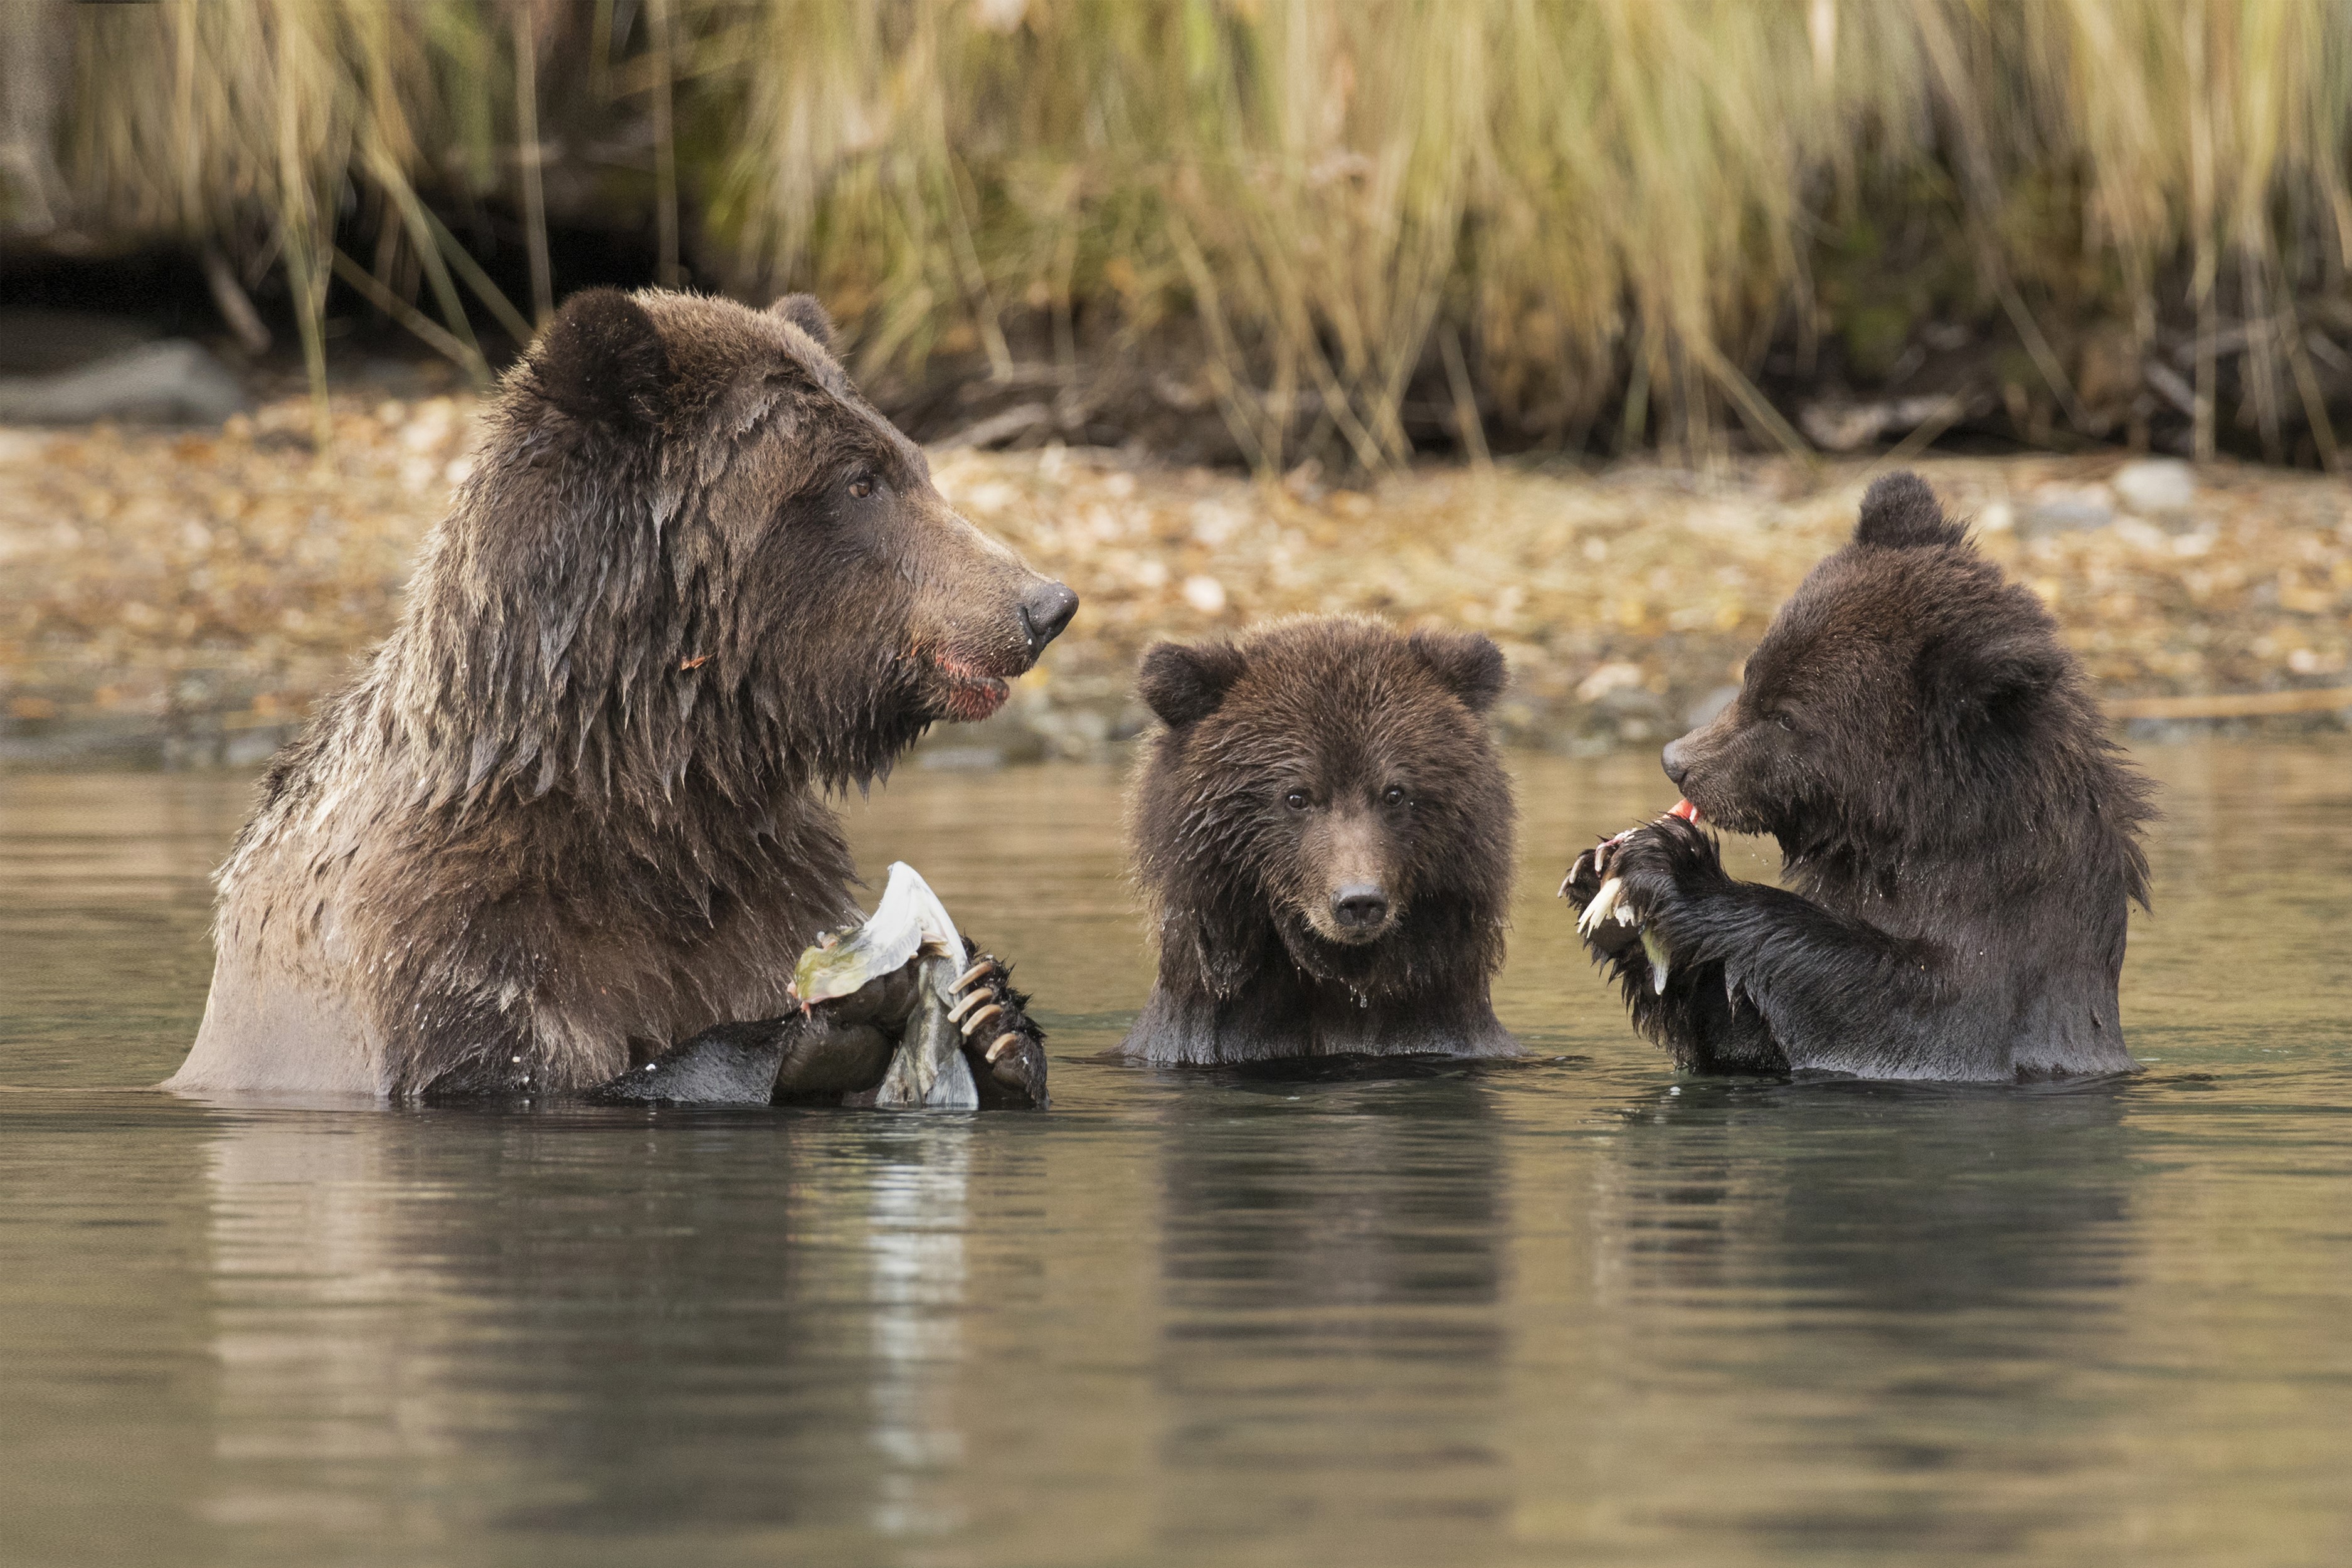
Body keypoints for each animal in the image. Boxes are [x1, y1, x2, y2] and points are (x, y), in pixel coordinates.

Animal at [166, 287, 1077, 1105]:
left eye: (914, 464)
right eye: (860, 481)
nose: (1044, 603)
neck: (646, 782)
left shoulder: (763, 884)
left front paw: (993, 1015)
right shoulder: (445, 946)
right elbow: (529, 1072)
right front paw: (829, 1017)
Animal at [1560, 471, 2154, 1082]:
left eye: (1786, 715)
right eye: (1752, 675)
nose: (1678, 761)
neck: (1904, 847)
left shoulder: (1994, 970)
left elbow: (1895, 1006)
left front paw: (1671, 864)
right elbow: (1739, 1030)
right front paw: (1600, 882)